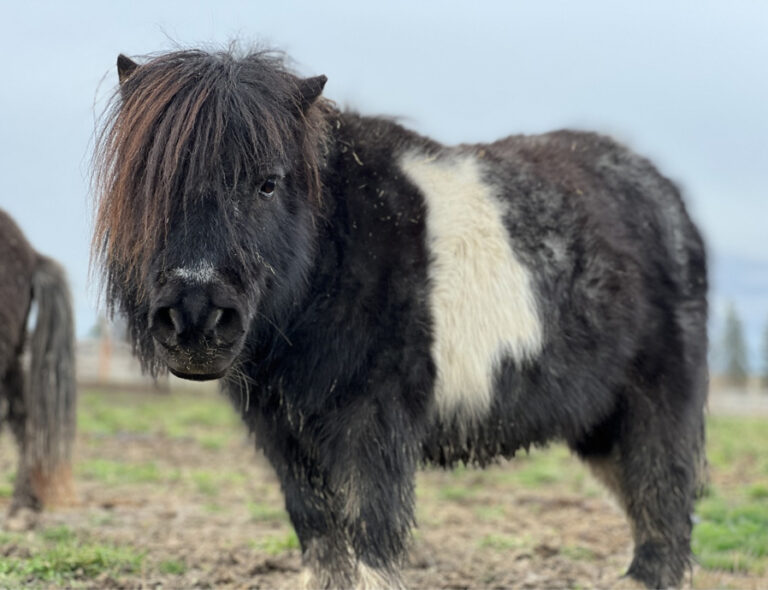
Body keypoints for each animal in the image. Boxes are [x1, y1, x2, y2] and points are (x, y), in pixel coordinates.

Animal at [92, 48, 708, 589]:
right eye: (145, 184)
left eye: (267, 183)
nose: (195, 320)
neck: (336, 255)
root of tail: (668, 201)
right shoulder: (284, 436)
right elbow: (320, 539)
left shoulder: (374, 430)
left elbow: (373, 543)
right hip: (600, 427)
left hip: (654, 408)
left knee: (664, 511)